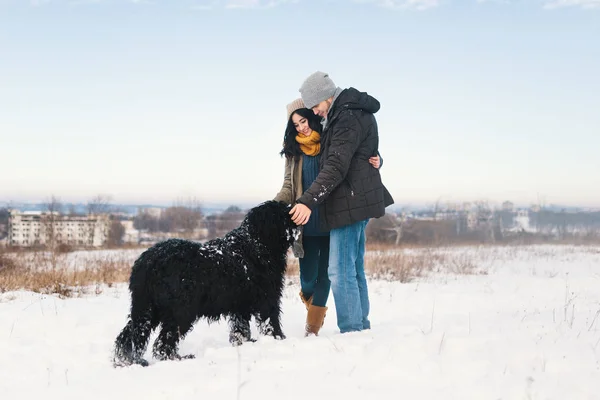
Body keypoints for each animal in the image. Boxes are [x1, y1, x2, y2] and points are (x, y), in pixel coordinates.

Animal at [112, 202, 298, 368]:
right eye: (284, 213)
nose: (297, 216)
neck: (256, 243)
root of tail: (148, 261)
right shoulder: (268, 297)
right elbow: (271, 321)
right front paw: (279, 339)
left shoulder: (240, 303)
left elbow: (240, 328)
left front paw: (244, 343)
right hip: (181, 310)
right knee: (163, 342)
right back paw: (178, 358)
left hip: (146, 306)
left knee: (129, 333)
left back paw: (125, 360)